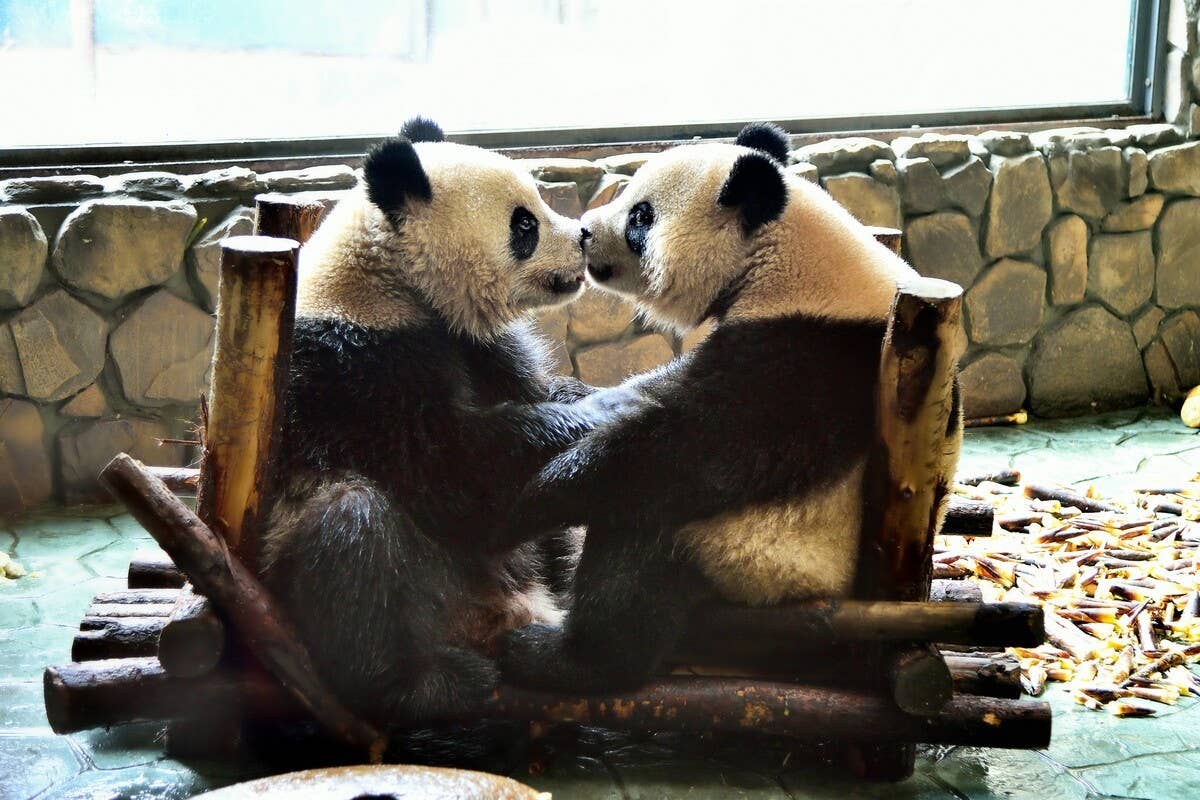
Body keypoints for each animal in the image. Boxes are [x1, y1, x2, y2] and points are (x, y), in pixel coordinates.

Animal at [260, 117, 632, 727]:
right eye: (524, 224)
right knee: (351, 532)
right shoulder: (354, 368)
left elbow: (528, 393)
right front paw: (604, 411)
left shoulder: (480, 346)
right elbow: (449, 471)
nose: (582, 235)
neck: (391, 281)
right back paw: (427, 684)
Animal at [493, 122, 962, 692]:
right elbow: (650, 391)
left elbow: (699, 444)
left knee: (638, 539)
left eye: (641, 217)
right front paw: (565, 399)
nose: (584, 231)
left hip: (750, 559)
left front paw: (537, 496)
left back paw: (556, 657)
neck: (784, 256)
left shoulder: (810, 353)